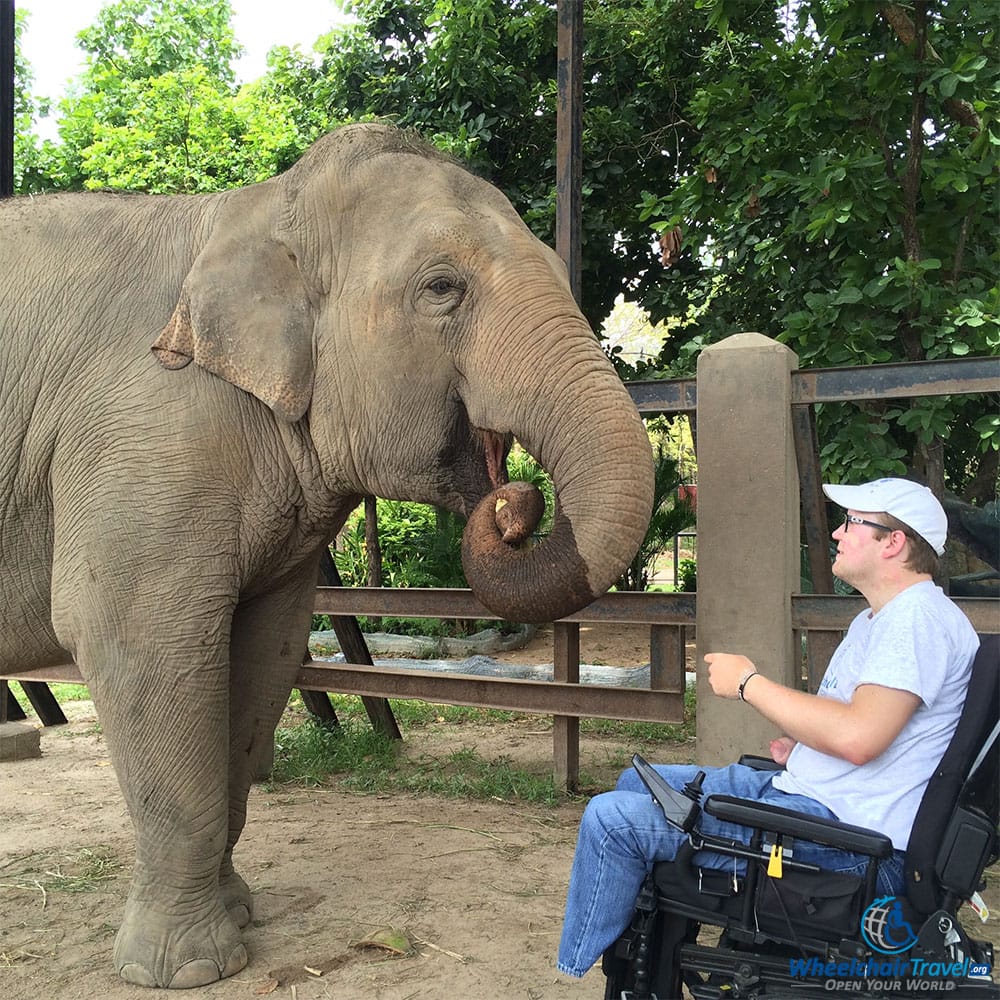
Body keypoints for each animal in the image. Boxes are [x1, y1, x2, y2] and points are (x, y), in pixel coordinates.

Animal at [0, 123, 656, 984]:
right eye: (442, 287)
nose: (514, 502)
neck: (253, 210)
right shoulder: (142, 437)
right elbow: (134, 638)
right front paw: (191, 971)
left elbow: (264, 654)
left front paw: (242, 914)